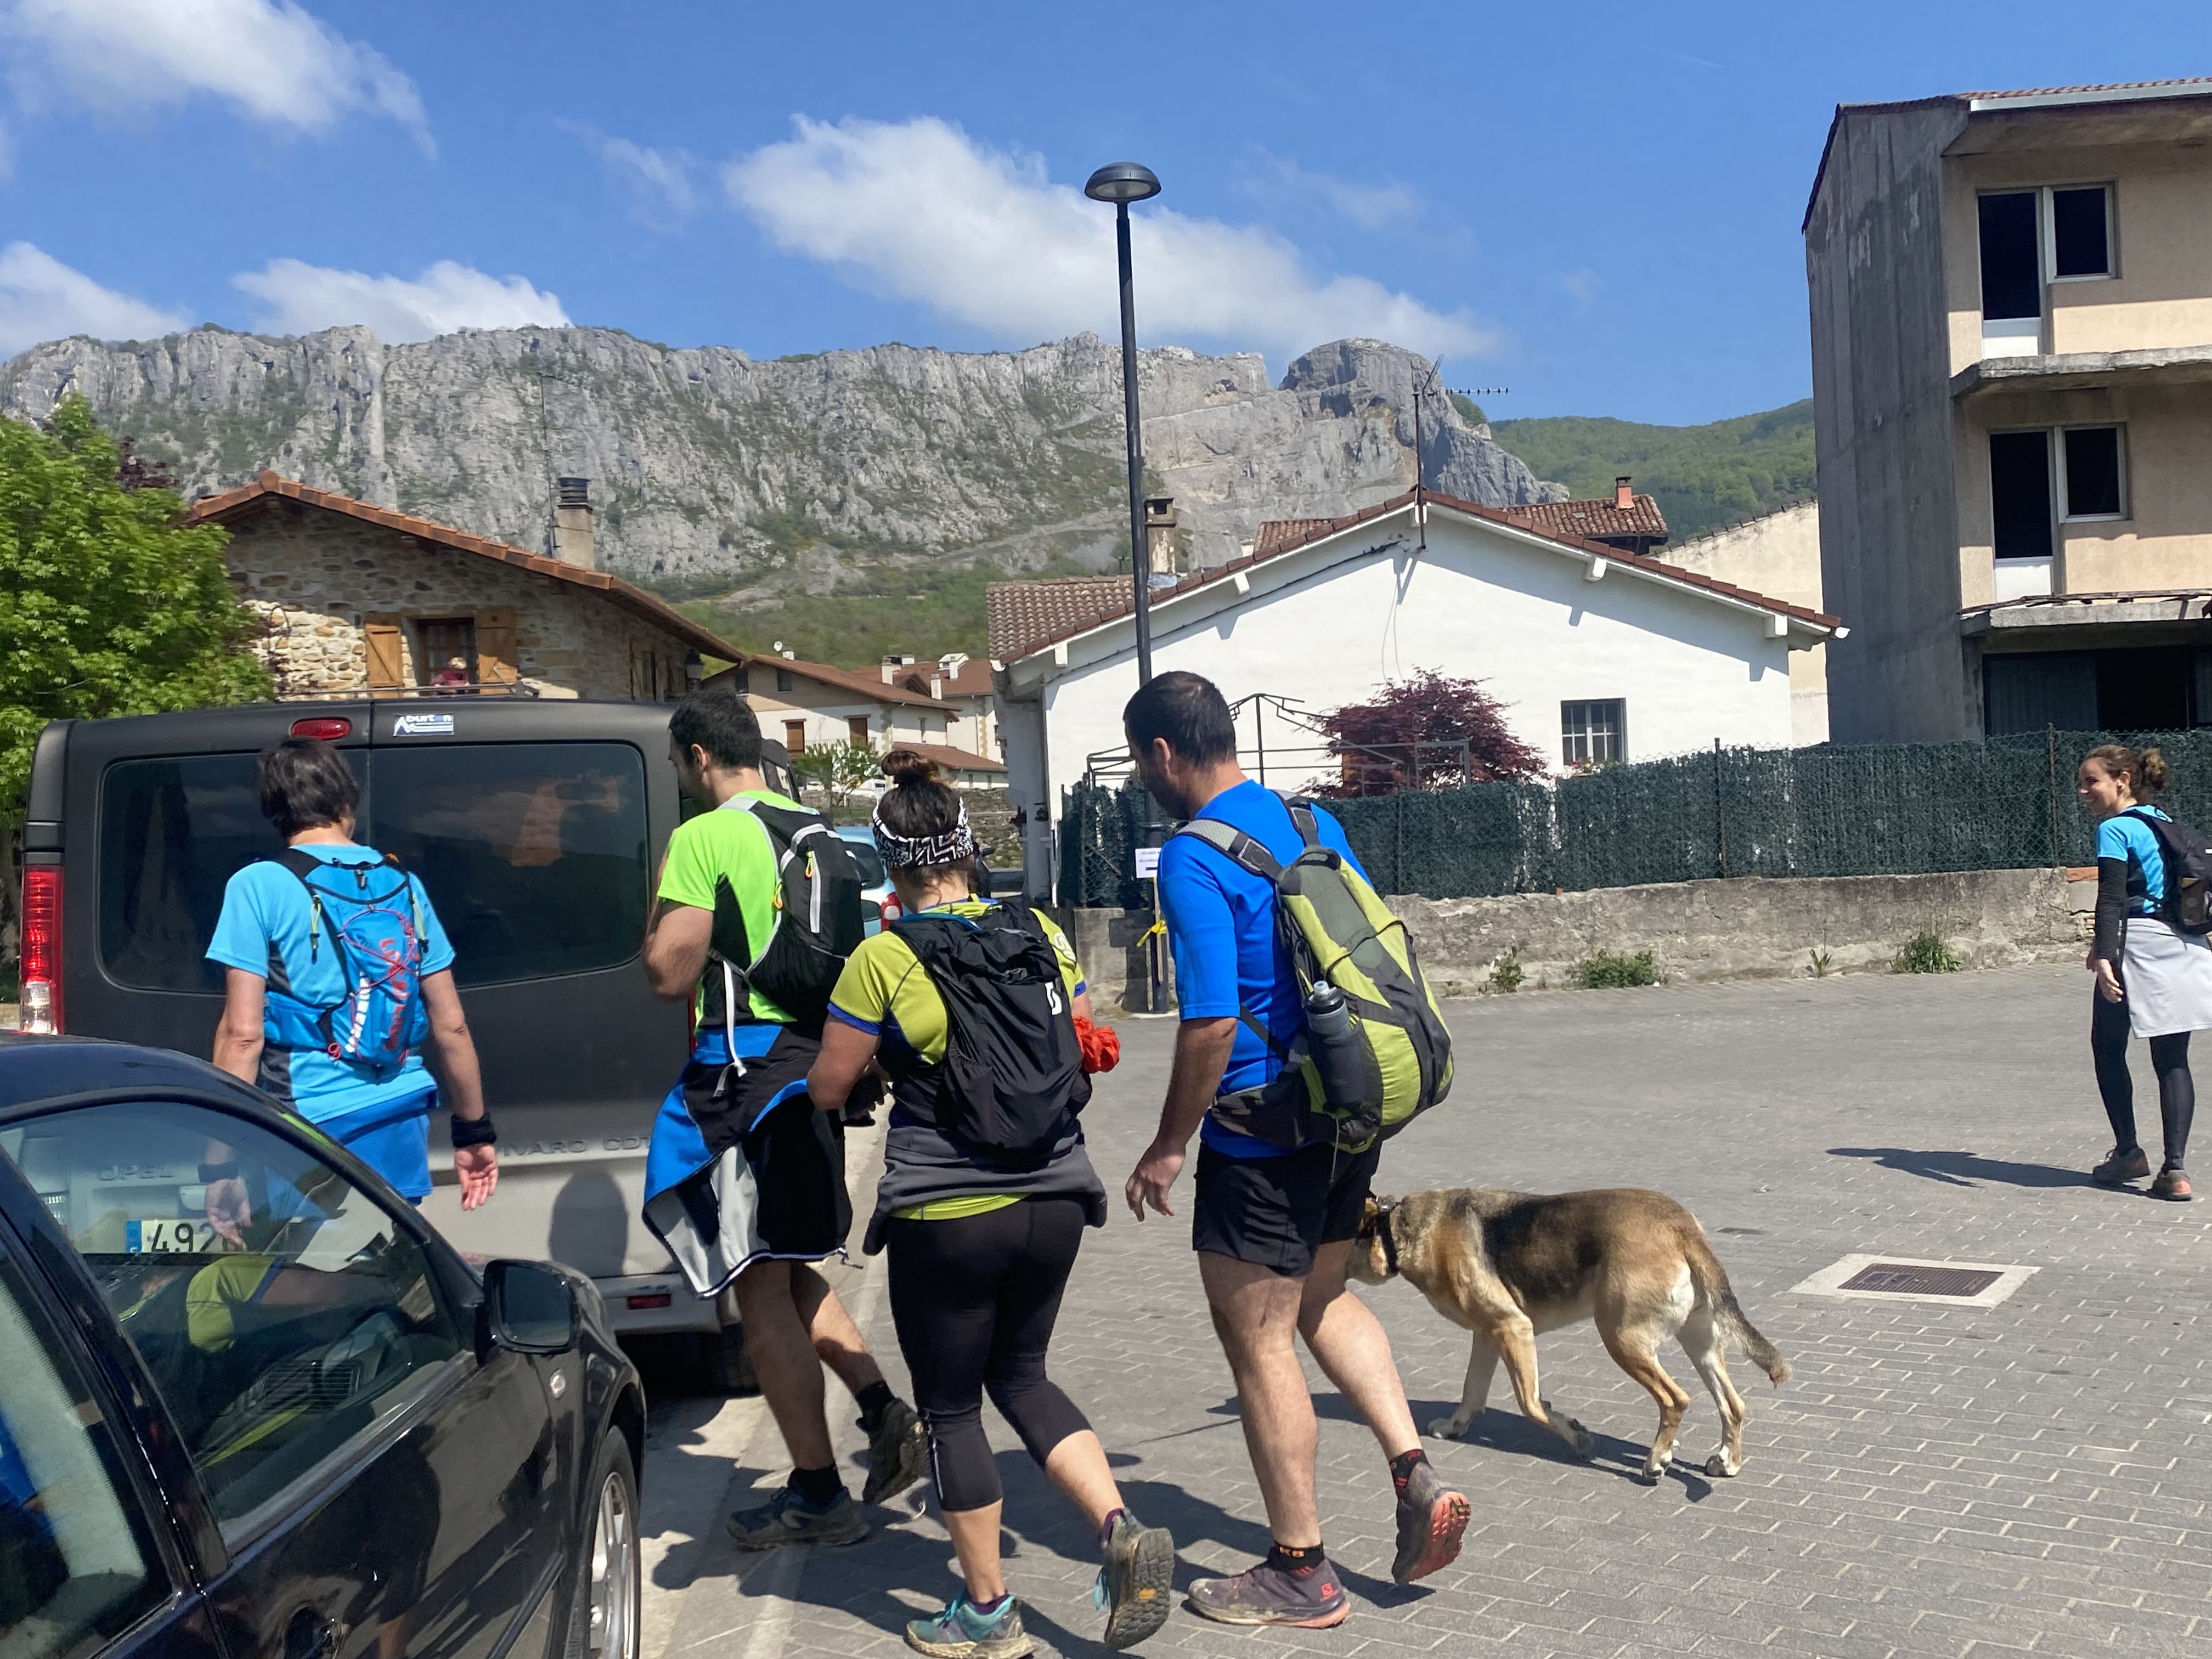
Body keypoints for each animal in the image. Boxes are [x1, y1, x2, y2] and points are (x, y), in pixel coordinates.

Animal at [1350, 1187, 1790, 1482]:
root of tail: (1681, 1226)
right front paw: (1457, 1426)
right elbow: (1472, 1391)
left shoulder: (1514, 1328)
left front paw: (1577, 1437)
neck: (1397, 1231)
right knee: (1732, 1404)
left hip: (1621, 1339)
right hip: (1699, 1342)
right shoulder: (1489, 1335)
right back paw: (1726, 1461)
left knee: (1675, 1399)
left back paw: (1656, 1460)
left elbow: (1532, 1404)